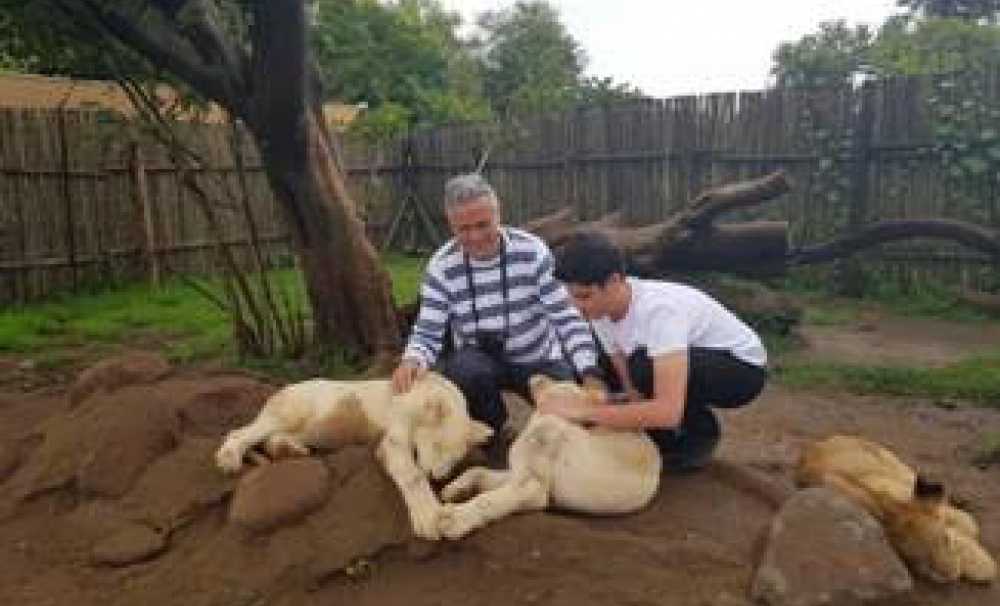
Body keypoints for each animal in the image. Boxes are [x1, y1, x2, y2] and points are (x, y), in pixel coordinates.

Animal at [215, 376, 492, 540]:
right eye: (437, 446)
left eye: (454, 458)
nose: (435, 476)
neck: (431, 388)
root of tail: (281, 390)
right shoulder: (398, 418)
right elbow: (402, 462)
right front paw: (430, 518)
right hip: (301, 402)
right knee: (253, 429)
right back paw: (229, 458)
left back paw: (290, 449)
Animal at [438, 376, 664, 540]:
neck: (547, 420)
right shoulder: (517, 474)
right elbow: (478, 472)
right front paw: (456, 488)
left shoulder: (534, 490)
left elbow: (488, 500)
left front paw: (455, 519)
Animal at [796, 434, 992, 588]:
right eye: (914, 559)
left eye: (945, 540)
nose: (950, 575)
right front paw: (983, 567)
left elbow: (968, 524)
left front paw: (983, 566)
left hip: (894, 461)